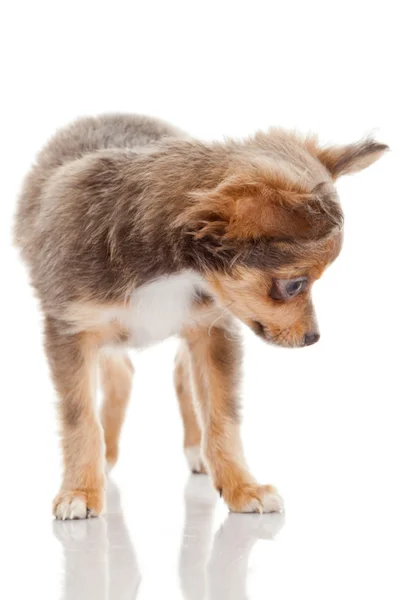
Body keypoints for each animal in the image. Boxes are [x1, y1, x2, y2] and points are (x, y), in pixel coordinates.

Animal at [14, 115, 386, 516]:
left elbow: (222, 416)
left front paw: (242, 487)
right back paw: (107, 456)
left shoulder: (213, 329)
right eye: (294, 285)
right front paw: (81, 491)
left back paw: (195, 450)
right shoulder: (71, 331)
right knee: (122, 374)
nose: (313, 337)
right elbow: (80, 418)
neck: (170, 273)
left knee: (178, 376)